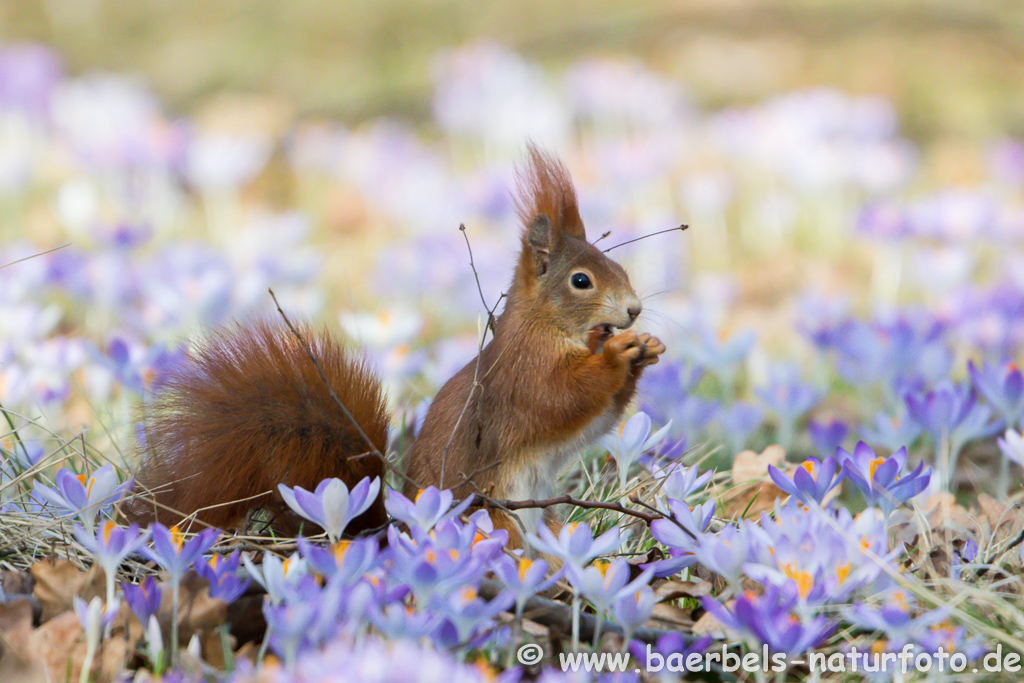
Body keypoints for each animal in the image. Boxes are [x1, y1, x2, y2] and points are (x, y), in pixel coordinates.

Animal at [136, 147, 663, 548]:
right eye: (582, 281)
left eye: (618, 267)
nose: (634, 310)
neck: (546, 327)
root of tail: (398, 536)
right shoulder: (522, 376)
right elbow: (560, 399)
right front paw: (617, 355)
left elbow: (597, 416)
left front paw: (646, 349)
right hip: (495, 519)